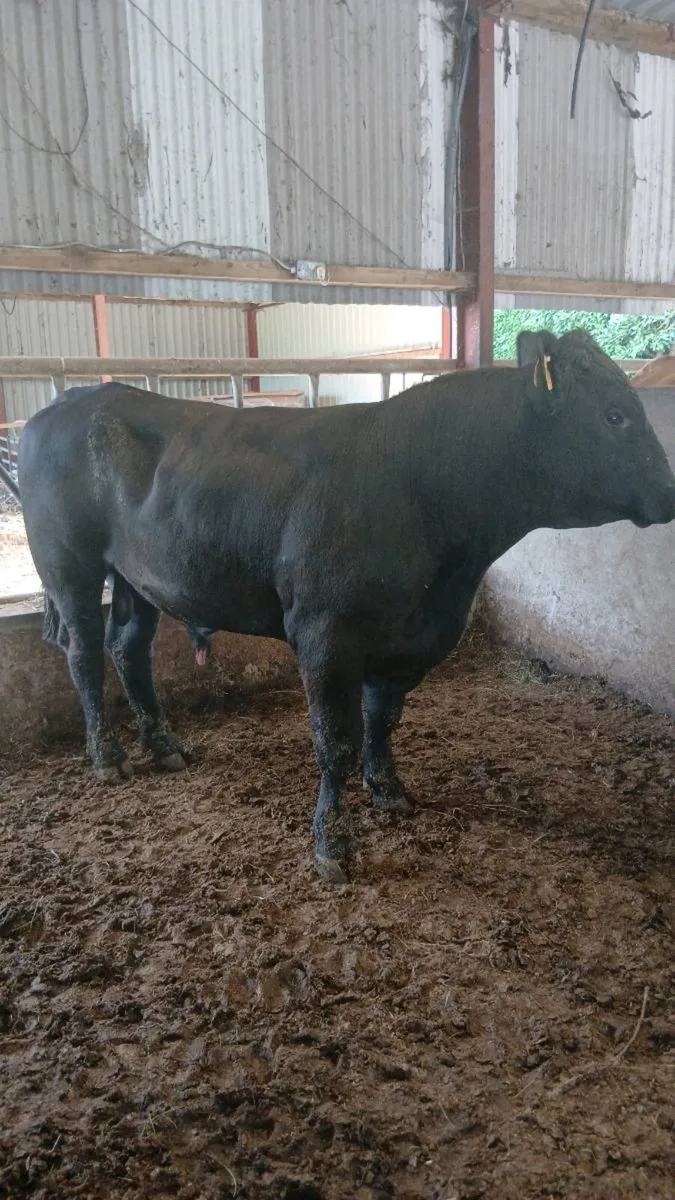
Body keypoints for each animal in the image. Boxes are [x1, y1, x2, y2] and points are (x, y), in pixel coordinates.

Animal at [8, 330, 675, 883]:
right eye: (616, 416)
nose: (670, 492)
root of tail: (63, 405)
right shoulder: (326, 635)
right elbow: (337, 741)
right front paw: (334, 844)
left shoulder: (405, 638)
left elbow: (382, 721)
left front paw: (389, 790)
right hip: (69, 566)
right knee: (84, 655)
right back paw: (107, 756)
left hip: (138, 576)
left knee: (129, 648)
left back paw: (164, 746)